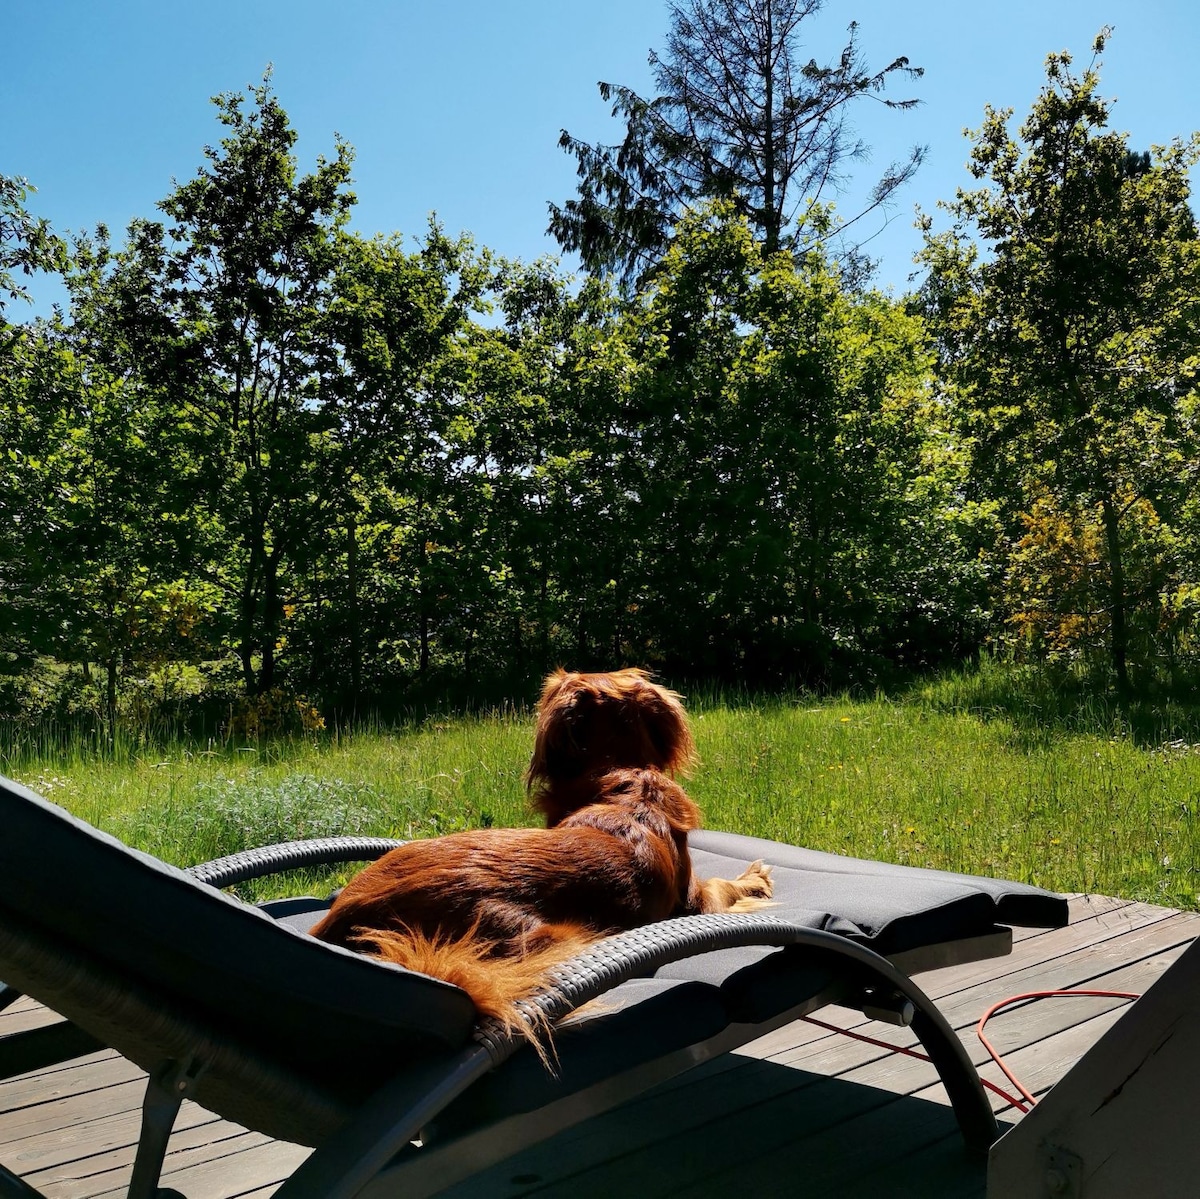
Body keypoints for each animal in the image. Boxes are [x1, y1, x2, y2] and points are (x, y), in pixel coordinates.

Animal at [309, 672, 772, 1036]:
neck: (621, 774)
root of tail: (347, 916)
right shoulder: (694, 901)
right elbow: (722, 883)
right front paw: (756, 878)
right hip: (553, 935)